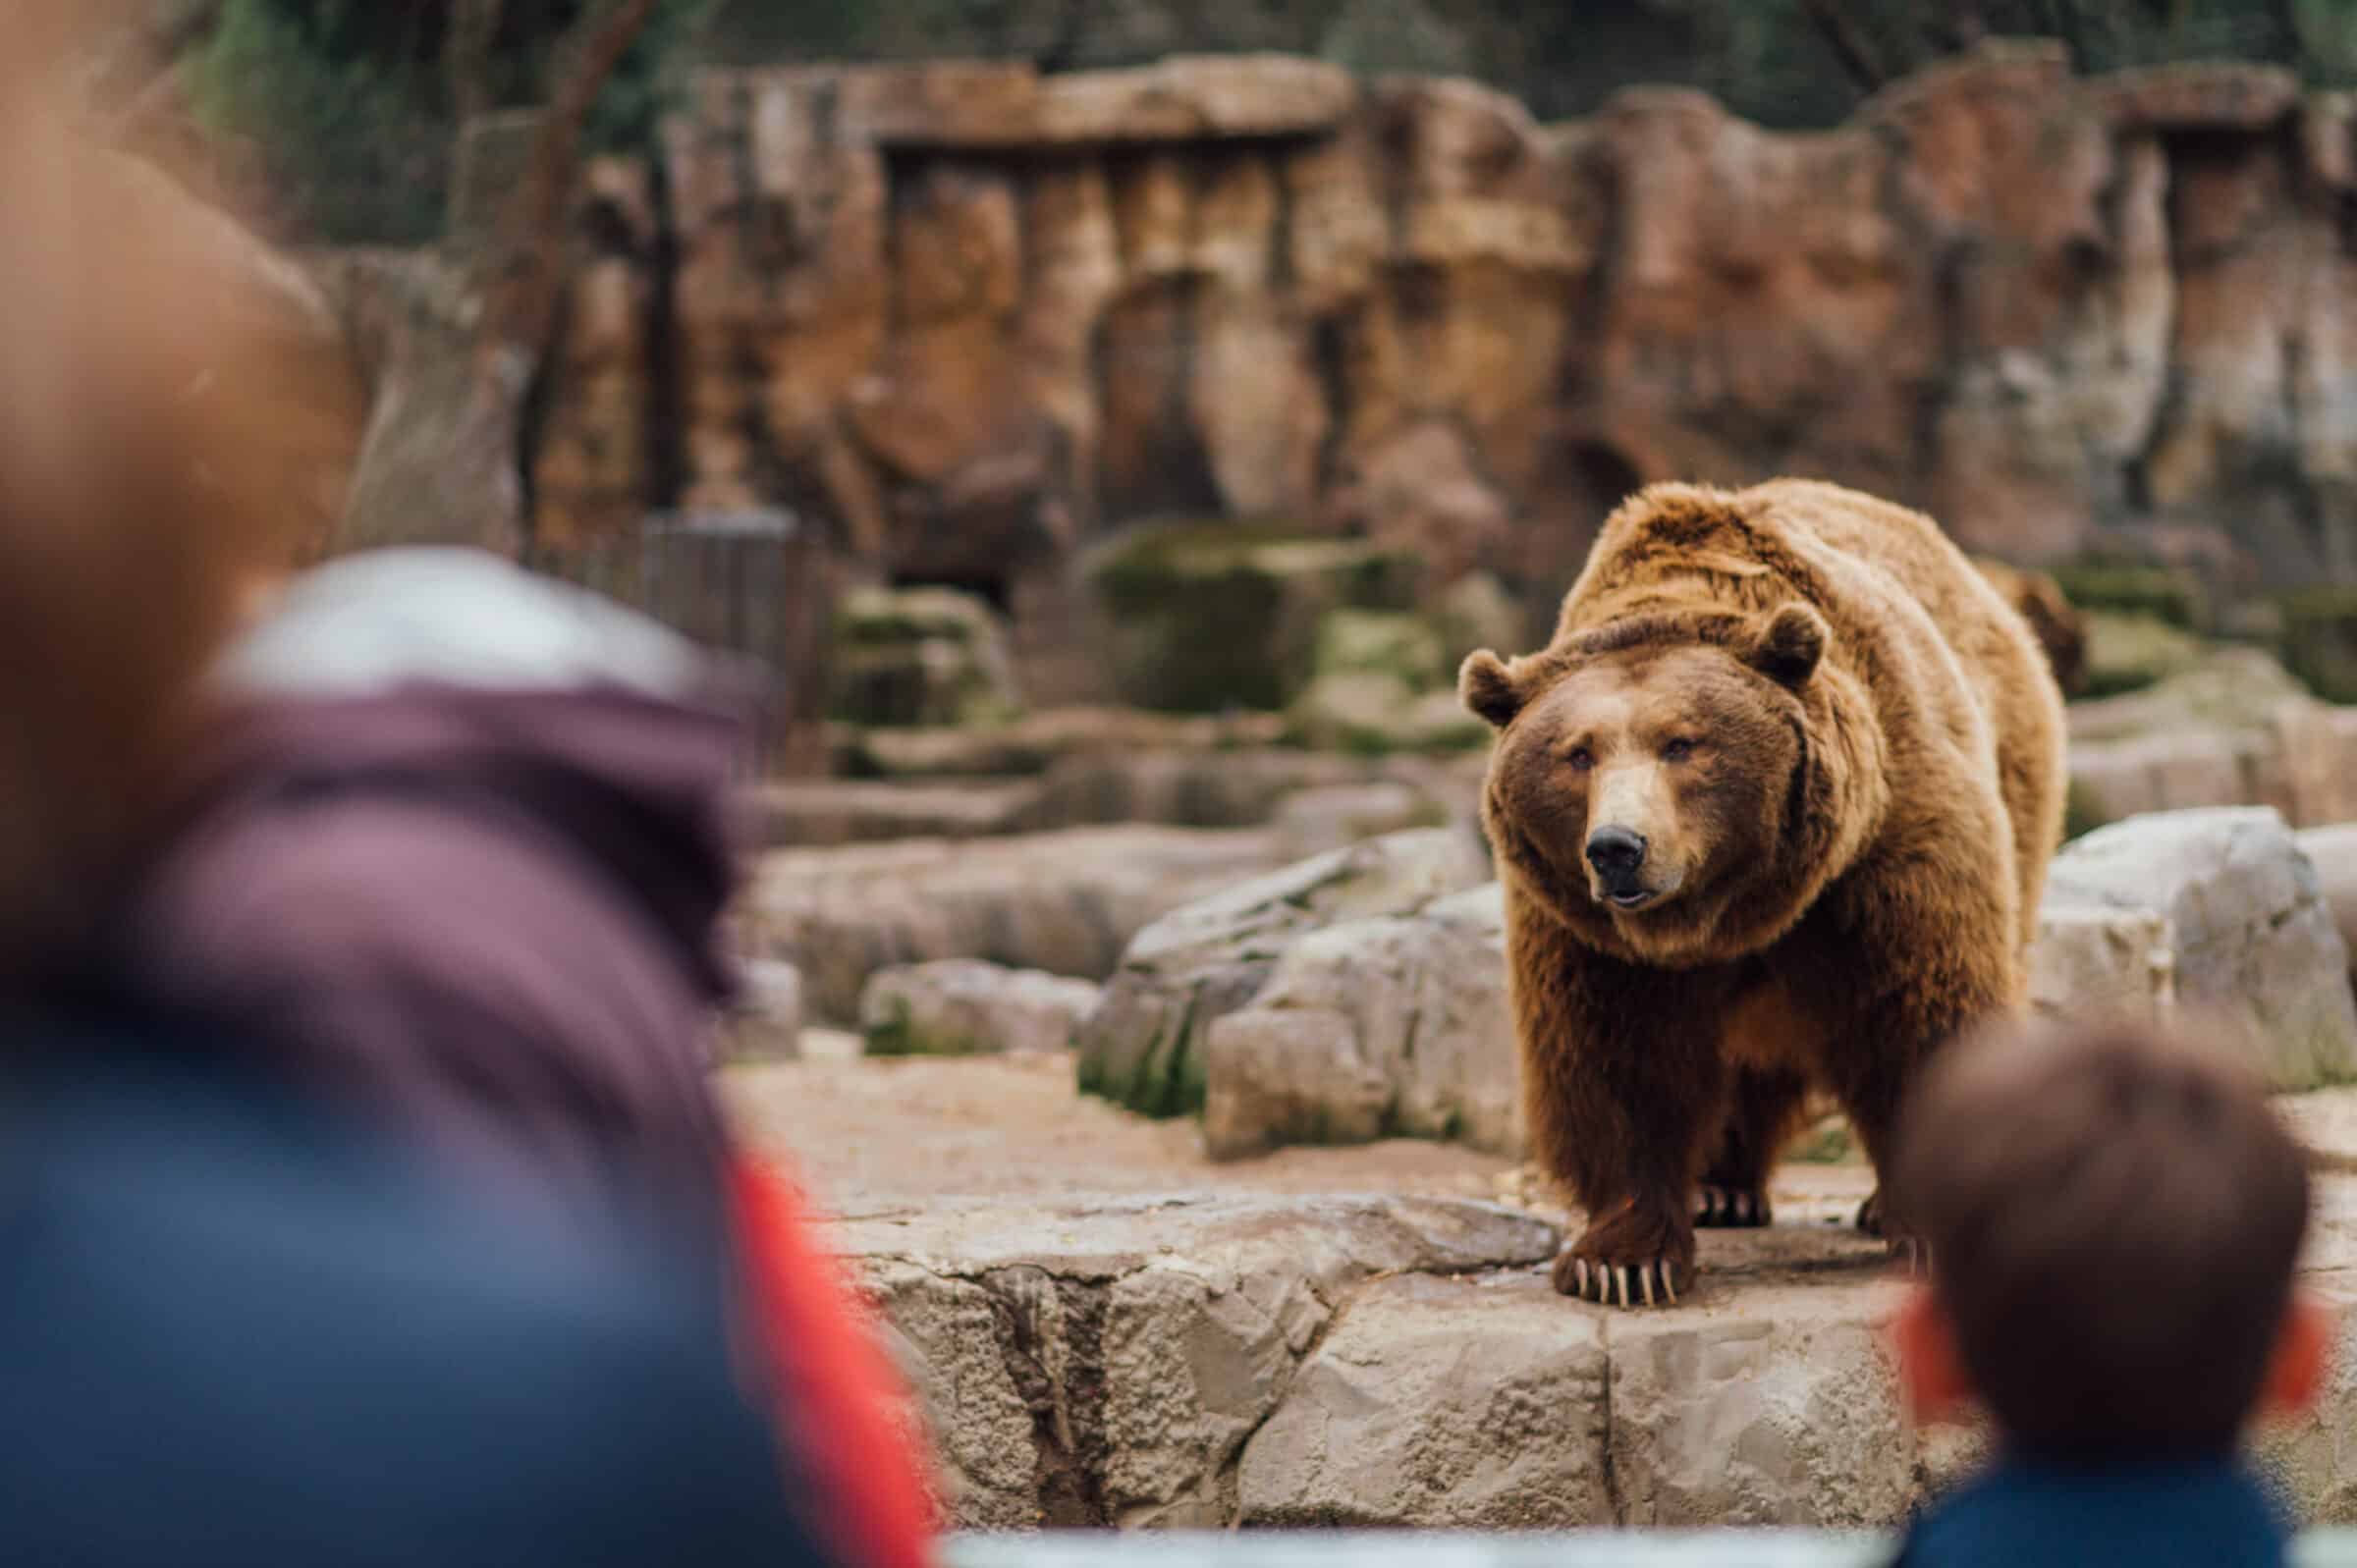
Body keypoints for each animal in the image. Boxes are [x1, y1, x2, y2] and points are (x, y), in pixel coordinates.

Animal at [1460, 478, 2066, 1308]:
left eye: (1682, 742)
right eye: (1576, 754)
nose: (1617, 848)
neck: (1733, 909)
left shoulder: (1885, 847)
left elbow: (1918, 1012)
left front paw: (1930, 1226)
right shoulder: (1583, 926)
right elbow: (1613, 1055)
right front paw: (1622, 1260)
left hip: (2015, 770)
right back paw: (1722, 1188)